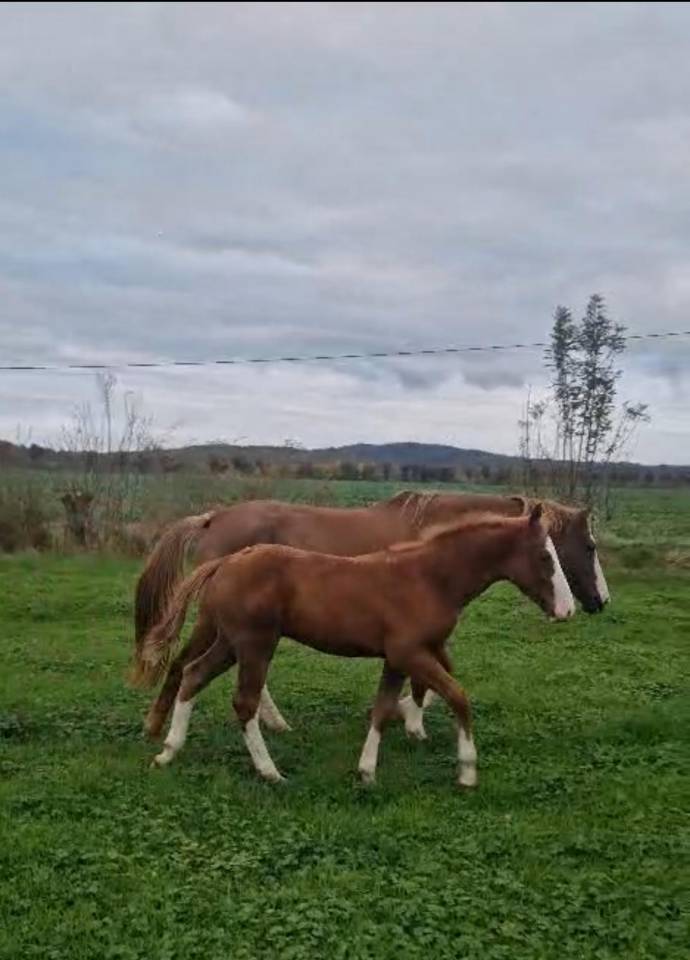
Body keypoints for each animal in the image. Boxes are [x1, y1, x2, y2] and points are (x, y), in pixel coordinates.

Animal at [140, 504, 575, 789]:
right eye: (544, 556)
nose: (567, 609)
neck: (429, 578)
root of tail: (225, 563)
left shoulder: (399, 659)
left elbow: (382, 709)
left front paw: (367, 770)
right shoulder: (409, 653)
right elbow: (458, 695)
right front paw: (467, 770)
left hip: (231, 642)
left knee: (193, 675)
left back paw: (168, 750)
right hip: (254, 644)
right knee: (242, 701)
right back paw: (270, 771)